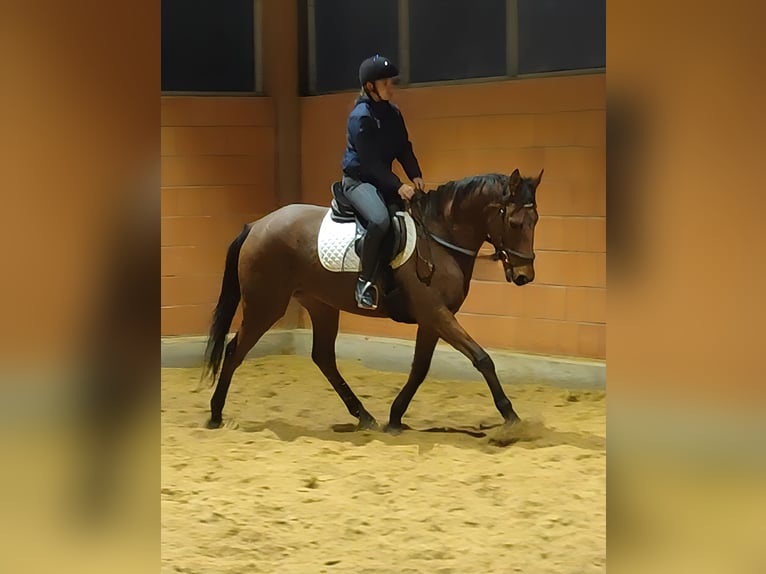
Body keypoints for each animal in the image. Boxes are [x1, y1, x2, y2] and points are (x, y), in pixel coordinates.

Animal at [202, 168, 543, 434]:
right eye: (515, 223)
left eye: (536, 220)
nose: (524, 275)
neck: (439, 238)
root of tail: (256, 226)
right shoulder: (436, 313)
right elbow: (481, 358)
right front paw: (511, 416)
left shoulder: (432, 319)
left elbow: (420, 368)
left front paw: (395, 417)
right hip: (265, 306)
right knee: (235, 351)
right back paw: (215, 414)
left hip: (321, 305)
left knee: (323, 358)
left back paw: (363, 416)